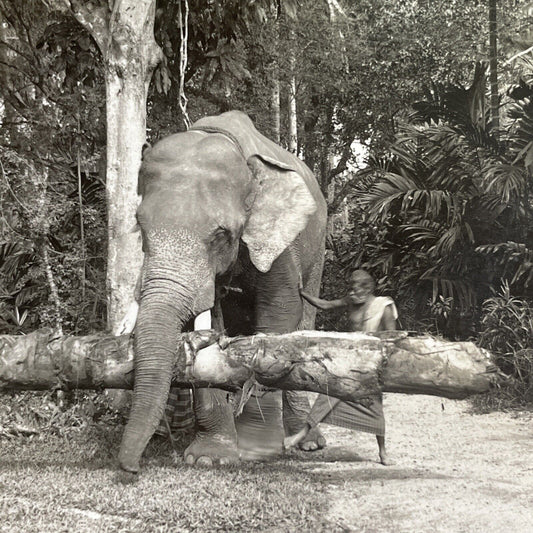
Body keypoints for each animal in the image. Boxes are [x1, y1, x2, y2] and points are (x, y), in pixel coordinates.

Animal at [118, 110, 326, 472]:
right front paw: (209, 457)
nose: (130, 467)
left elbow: (281, 311)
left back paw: (308, 442)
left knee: (304, 321)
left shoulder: (281, 244)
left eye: (221, 235)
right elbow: (203, 329)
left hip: (320, 246)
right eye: (140, 227)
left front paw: (256, 450)